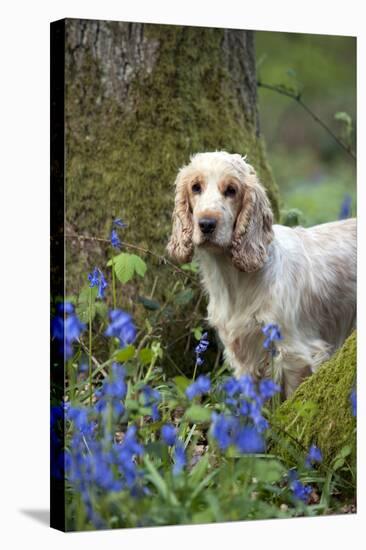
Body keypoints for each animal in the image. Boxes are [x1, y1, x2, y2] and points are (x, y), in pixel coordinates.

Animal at [167, 152, 356, 396]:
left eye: (231, 190)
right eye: (195, 187)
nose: (206, 224)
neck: (234, 280)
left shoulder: (294, 354)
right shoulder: (244, 358)